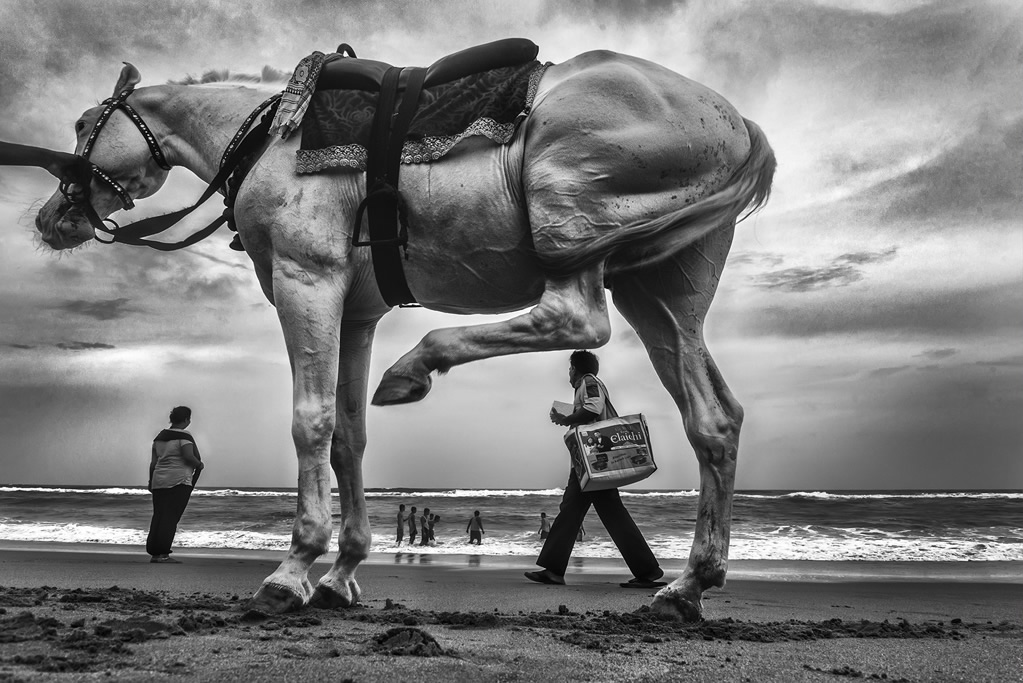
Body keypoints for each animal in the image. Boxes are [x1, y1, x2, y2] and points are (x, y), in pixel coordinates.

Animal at [36, 48, 777, 621]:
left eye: (83, 123)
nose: (50, 217)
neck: (269, 139)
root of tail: (737, 123)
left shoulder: (308, 280)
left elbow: (310, 423)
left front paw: (293, 569)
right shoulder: (356, 311)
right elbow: (348, 436)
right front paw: (340, 575)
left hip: (573, 221)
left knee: (577, 318)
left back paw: (416, 365)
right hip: (662, 292)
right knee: (714, 419)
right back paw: (686, 587)